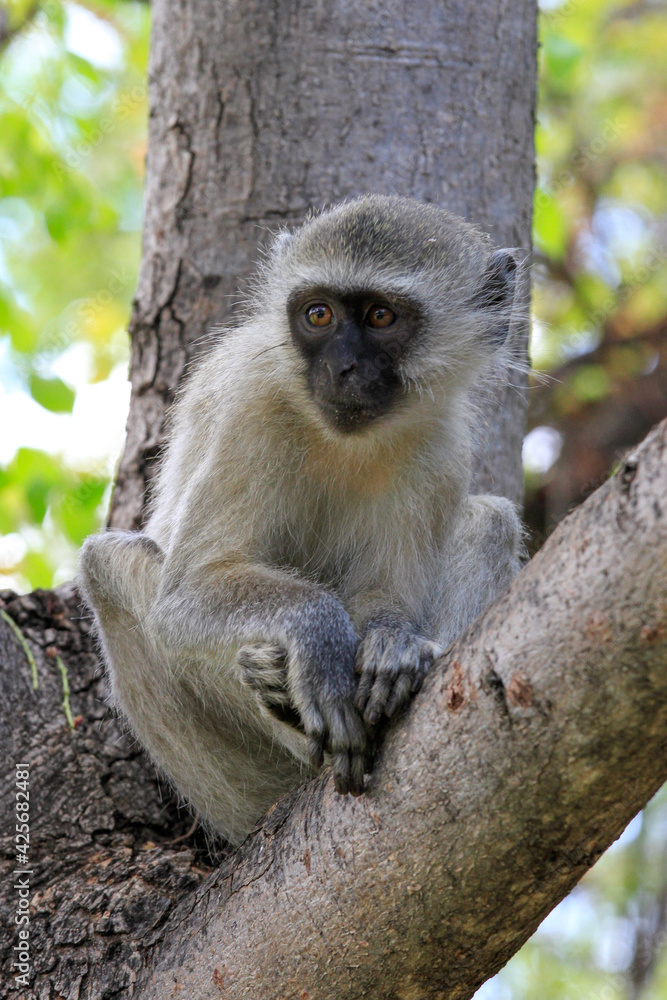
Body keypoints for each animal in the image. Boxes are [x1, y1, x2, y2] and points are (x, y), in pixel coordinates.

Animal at [81, 195, 524, 844]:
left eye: (381, 316)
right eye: (318, 314)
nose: (341, 368)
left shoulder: (440, 450)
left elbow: (388, 593)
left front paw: (394, 647)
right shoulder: (250, 410)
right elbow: (187, 593)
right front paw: (318, 638)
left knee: (490, 520)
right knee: (107, 563)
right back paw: (279, 700)